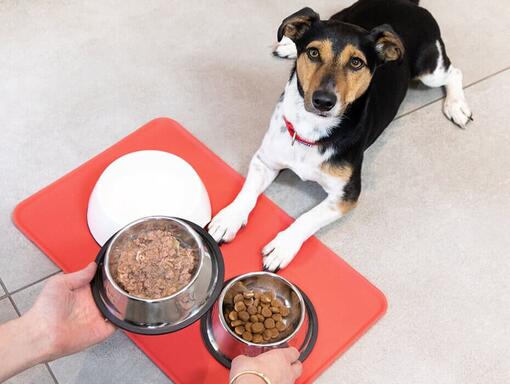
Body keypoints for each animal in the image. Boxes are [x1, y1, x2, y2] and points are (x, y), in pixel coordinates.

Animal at [206, 0, 470, 272]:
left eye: (356, 63)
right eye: (313, 53)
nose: (323, 101)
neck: (312, 129)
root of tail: (407, 3)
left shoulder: (346, 195)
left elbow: (308, 217)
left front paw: (283, 246)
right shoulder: (265, 160)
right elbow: (247, 192)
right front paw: (229, 218)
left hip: (429, 70)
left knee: (454, 72)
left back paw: (456, 106)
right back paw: (288, 45)